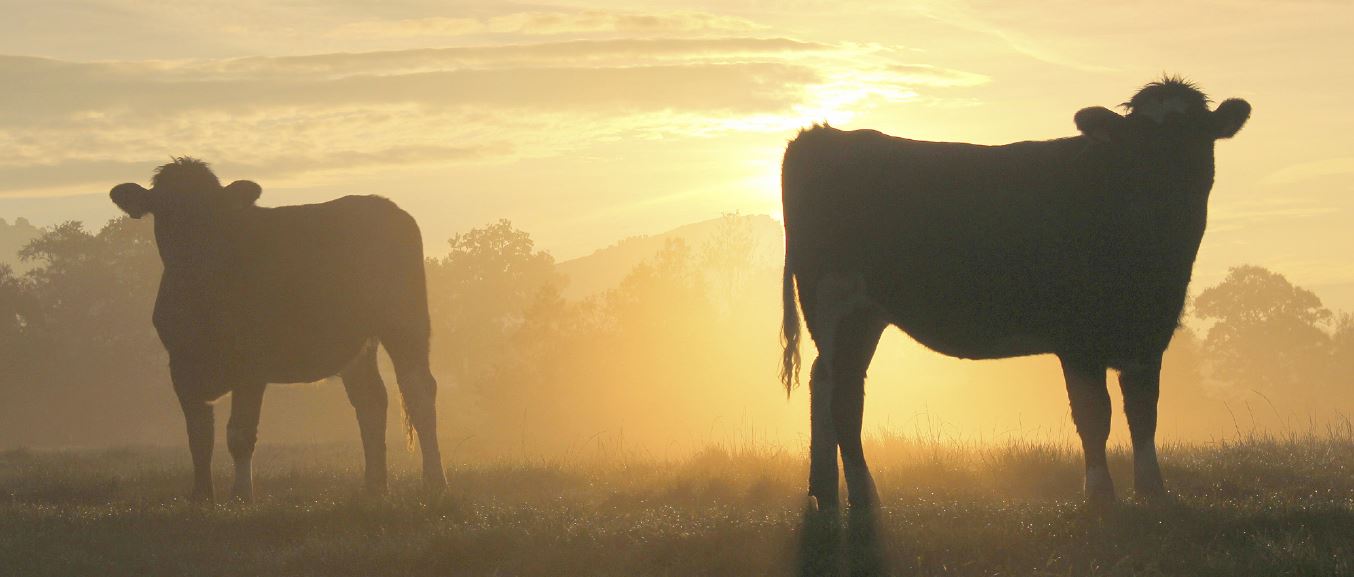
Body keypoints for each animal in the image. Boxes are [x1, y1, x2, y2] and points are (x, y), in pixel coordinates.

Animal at [111, 157, 446, 501]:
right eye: (164, 210)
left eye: (214, 210)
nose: (194, 254)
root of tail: (383, 204)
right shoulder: (180, 365)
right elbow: (199, 436)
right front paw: (202, 496)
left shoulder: (250, 366)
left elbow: (239, 433)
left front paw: (241, 495)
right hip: (358, 345)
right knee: (371, 402)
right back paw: (374, 487)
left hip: (406, 322)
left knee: (419, 391)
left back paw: (434, 481)